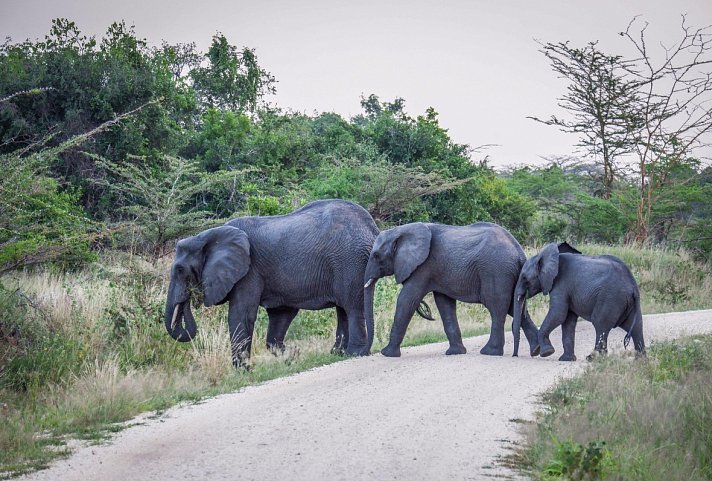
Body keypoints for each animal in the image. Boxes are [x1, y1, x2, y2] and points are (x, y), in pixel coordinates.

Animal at [165, 198, 382, 364]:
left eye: (180, 270)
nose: (191, 297)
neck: (207, 236)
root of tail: (372, 227)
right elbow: (280, 315)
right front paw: (291, 356)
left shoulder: (249, 271)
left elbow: (241, 314)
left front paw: (242, 371)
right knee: (343, 308)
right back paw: (338, 354)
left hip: (350, 261)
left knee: (352, 307)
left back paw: (354, 353)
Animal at [364, 221, 544, 356]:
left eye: (376, 256)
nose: (366, 352)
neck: (401, 230)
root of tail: (519, 252)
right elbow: (444, 304)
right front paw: (455, 352)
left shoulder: (423, 267)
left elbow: (407, 300)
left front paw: (386, 354)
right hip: (509, 275)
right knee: (515, 308)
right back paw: (538, 351)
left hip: (496, 271)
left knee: (497, 308)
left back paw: (489, 352)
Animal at [512, 244, 644, 360]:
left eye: (524, 278)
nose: (515, 356)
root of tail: (633, 286)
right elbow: (567, 320)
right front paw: (566, 359)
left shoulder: (561, 285)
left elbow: (558, 314)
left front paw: (547, 353)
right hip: (626, 302)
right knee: (636, 326)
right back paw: (641, 360)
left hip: (611, 298)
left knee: (600, 323)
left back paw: (592, 358)